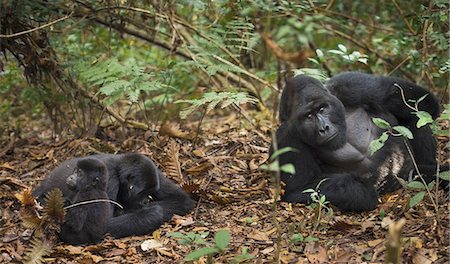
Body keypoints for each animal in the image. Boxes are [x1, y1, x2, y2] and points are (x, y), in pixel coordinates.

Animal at [31, 152, 193, 242]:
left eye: (150, 192)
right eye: (142, 193)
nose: (146, 201)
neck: (119, 170)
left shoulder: (155, 172)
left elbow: (182, 200)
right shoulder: (109, 180)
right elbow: (101, 226)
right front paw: (153, 212)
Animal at [274, 71, 442, 211]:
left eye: (322, 108)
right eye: (308, 116)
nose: (324, 128)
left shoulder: (351, 84)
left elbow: (422, 102)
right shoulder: (285, 140)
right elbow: (299, 188)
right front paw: (363, 193)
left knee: (416, 114)